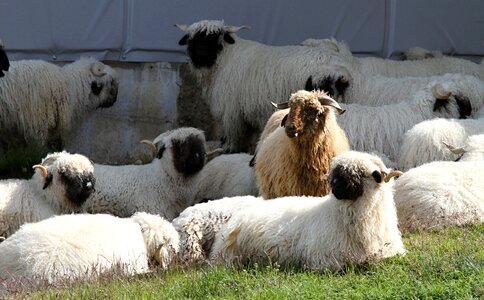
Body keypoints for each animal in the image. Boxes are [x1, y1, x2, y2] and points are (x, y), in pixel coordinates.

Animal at [176, 19, 350, 154]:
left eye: (214, 39)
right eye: (192, 39)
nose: (200, 55)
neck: (224, 59)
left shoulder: (231, 112)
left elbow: (233, 137)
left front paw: (229, 150)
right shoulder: (247, 114)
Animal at [210, 151, 406, 270]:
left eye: (356, 174)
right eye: (336, 173)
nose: (334, 185)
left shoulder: (389, 251)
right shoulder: (324, 259)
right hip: (230, 255)